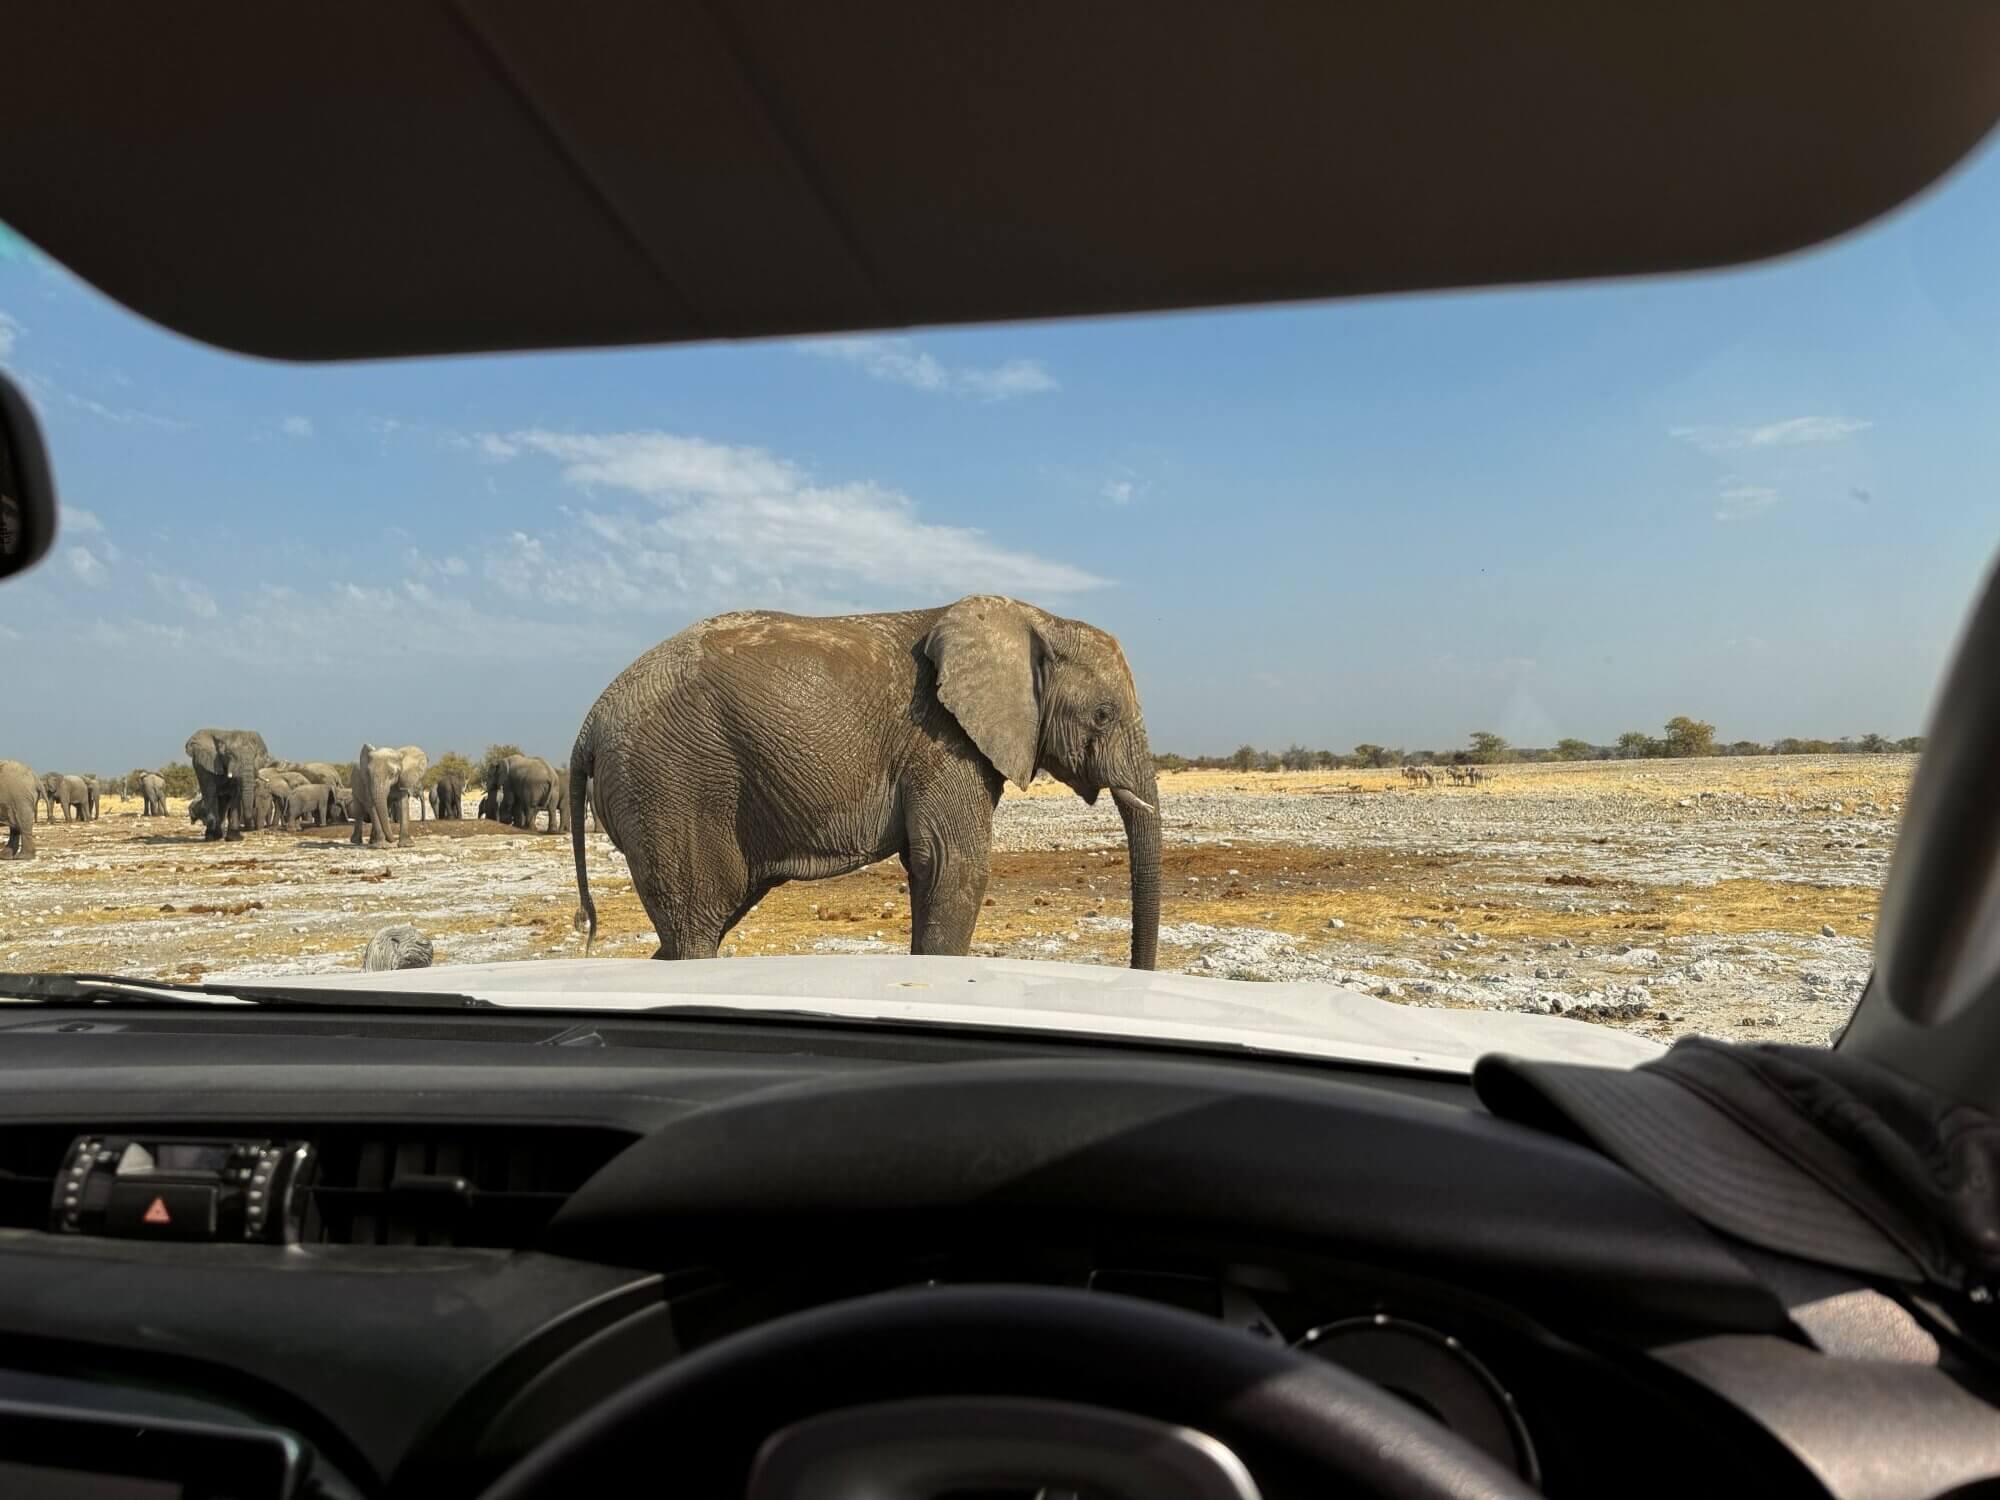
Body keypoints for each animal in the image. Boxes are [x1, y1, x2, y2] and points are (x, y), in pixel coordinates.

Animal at [568, 596, 1161, 967]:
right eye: (1103, 715)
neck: (1034, 619)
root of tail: (588, 725)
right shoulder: (940, 740)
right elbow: (951, 863)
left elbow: (930, 868)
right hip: (670, 785)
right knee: (696, 920)